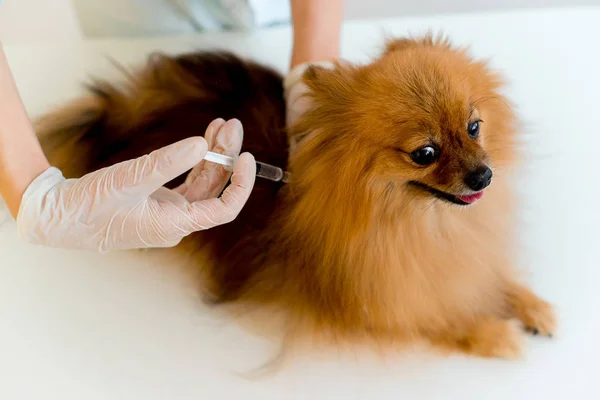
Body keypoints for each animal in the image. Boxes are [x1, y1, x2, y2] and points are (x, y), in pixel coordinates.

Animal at [36, 35, 552, 360]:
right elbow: (439, 319)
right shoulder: (378, 305)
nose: (484, 175)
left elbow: (491, 277)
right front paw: (495, 334)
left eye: (474, 127)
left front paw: (530, 305)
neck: (419, 222)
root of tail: (121, 111)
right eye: (424, 153)